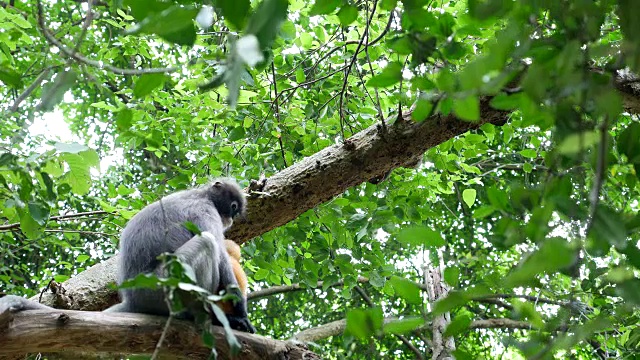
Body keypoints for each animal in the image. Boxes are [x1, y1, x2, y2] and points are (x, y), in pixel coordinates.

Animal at [0, 179, 255, 334]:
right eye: (233, 207)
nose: (231, 219)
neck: (202, 195)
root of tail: (133, 299)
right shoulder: (205, 211)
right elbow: (220, 255)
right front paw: (240, 316)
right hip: (160, 289)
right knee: (207, 243)